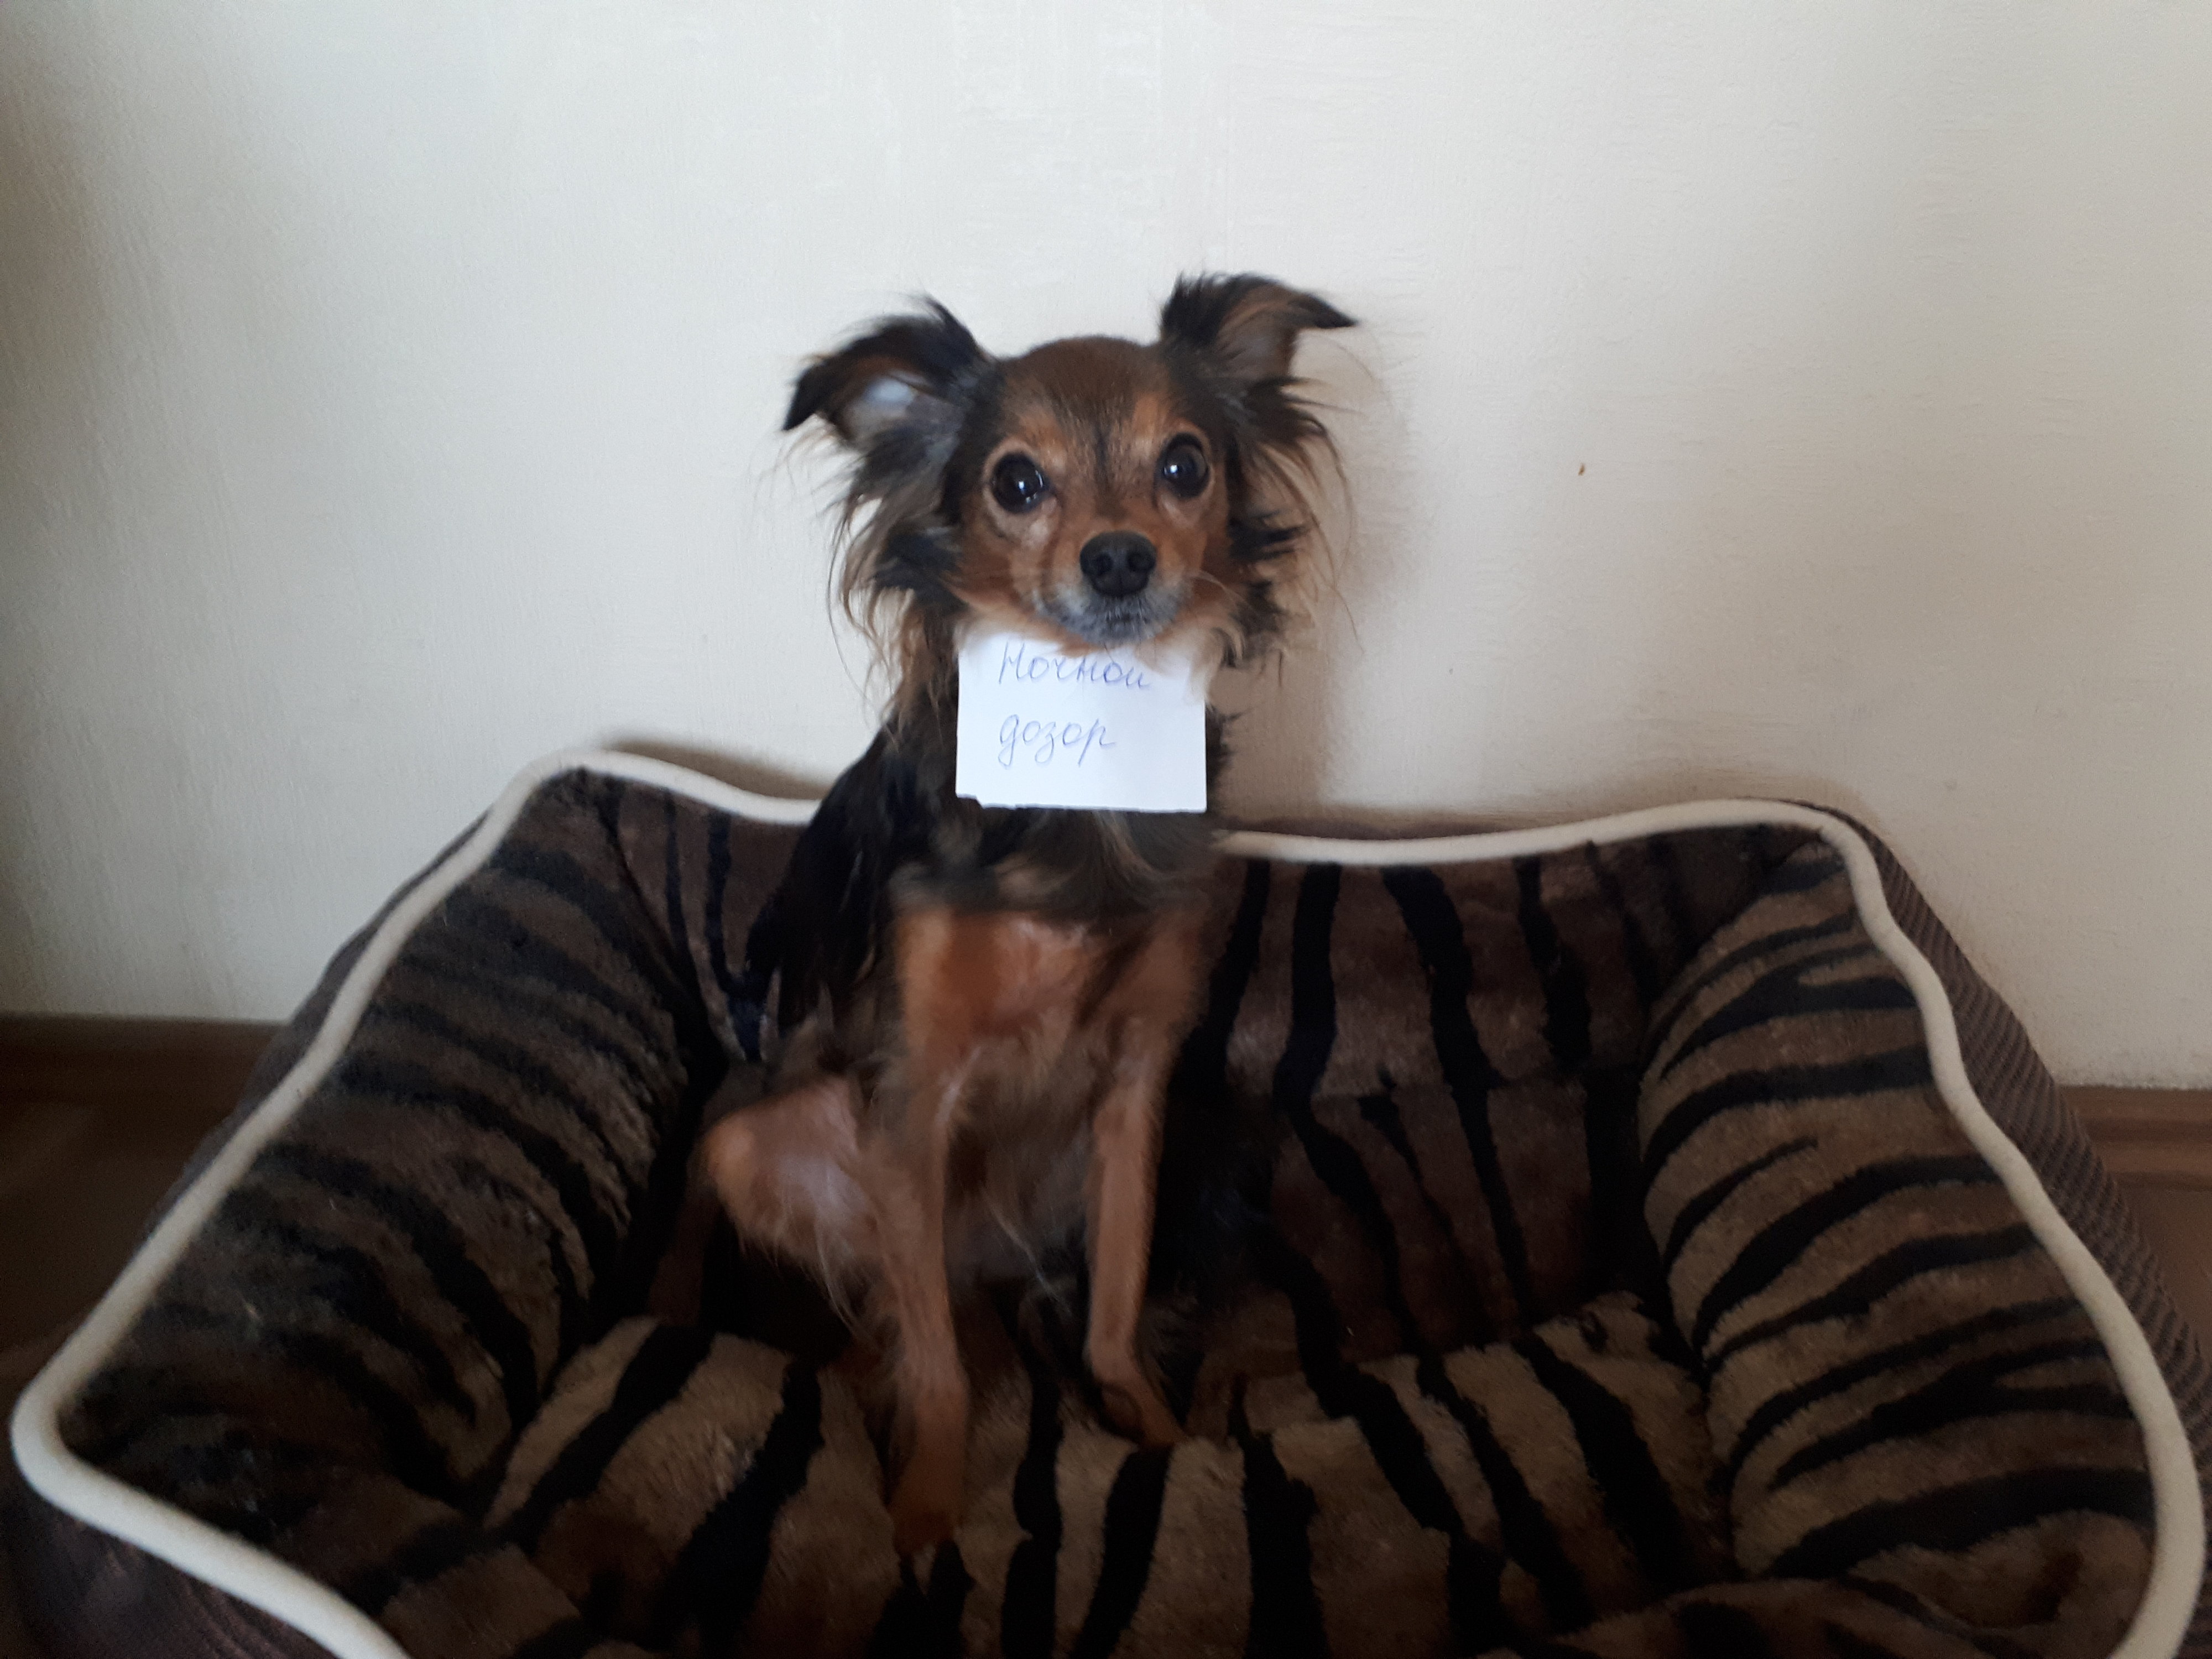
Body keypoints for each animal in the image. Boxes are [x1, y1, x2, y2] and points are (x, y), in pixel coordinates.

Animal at [700, 274, 1352, 1553]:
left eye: (1185, 465)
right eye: (1015, 483)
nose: (1119, 559)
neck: (1078, 781)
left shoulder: (1138, 1085)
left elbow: (1114, 1303)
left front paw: (1152, 1434)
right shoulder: (913, 1092)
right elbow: (942, 1372)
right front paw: (922, 1513)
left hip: (1220, 1125)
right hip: (760, 1146)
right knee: (907, 1307)